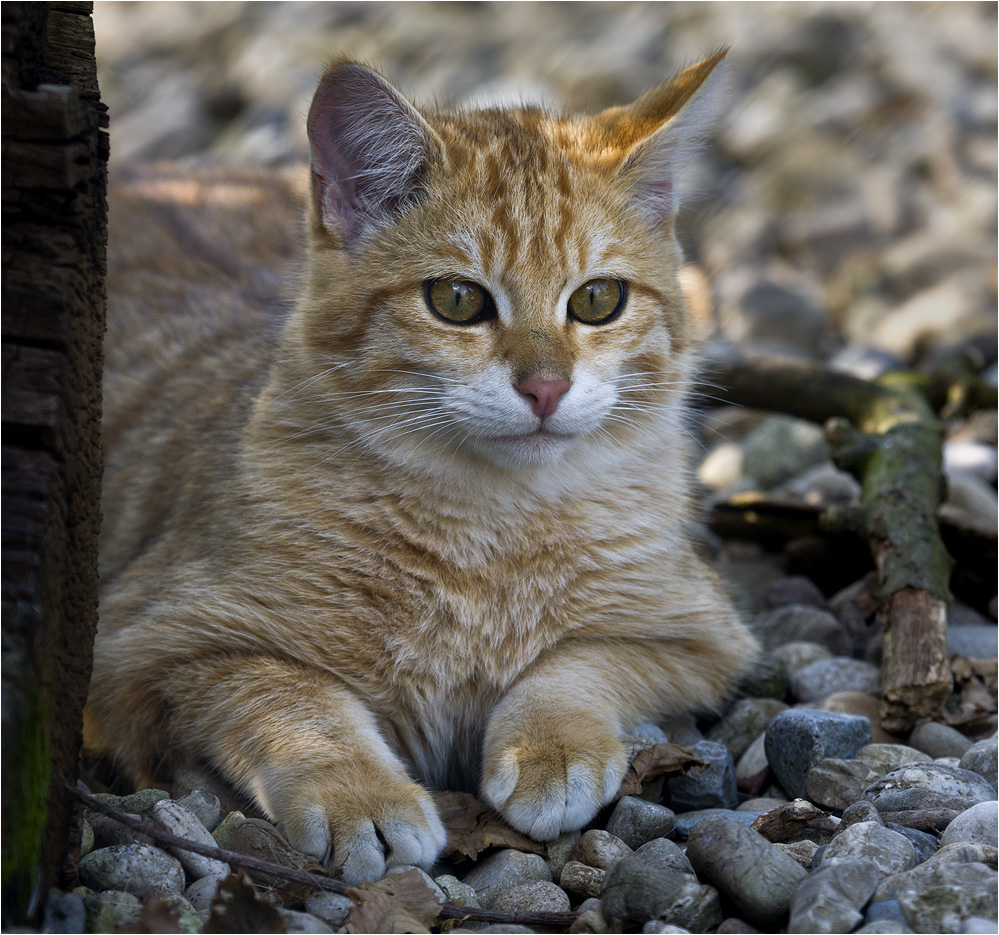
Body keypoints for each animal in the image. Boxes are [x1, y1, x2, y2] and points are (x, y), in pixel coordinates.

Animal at [86, 51, 756, 884]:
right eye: (457, 299)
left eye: (598, 299)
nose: (545, 386)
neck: (488, 533)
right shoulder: (151, 653)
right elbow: (293, 699)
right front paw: (357, 792)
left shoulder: (695, 635)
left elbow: (577, 664)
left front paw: (551, 741)